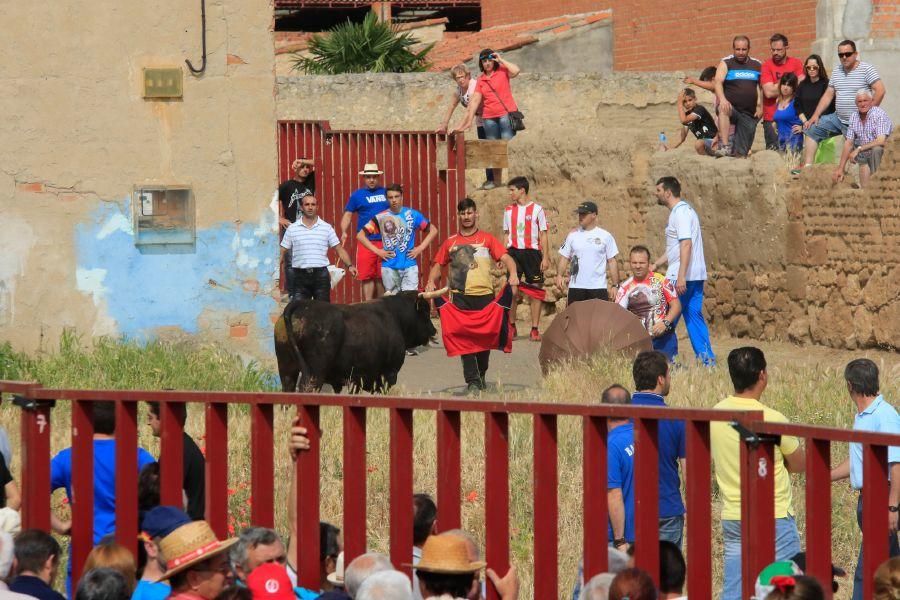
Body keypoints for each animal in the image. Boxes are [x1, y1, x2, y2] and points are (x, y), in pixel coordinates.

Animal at [278, 292, 440, 394]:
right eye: (425, 312)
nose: (434, 330)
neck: (396, 317)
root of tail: (301, 305)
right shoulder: (389, 374)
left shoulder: (357, 379)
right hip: (314, 374)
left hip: (287, 370)